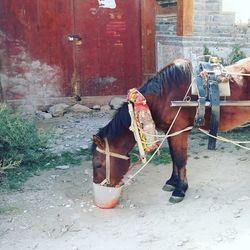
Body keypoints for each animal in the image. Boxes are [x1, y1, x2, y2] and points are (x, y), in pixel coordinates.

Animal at [92, 58, 250, 203]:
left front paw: (180, 189)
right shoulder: (171, 131)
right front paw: (172, 182)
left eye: (98, 164)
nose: (100, 185)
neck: (164, 95)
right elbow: (174, 157)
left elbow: (180, 159)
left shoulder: (179, 131)